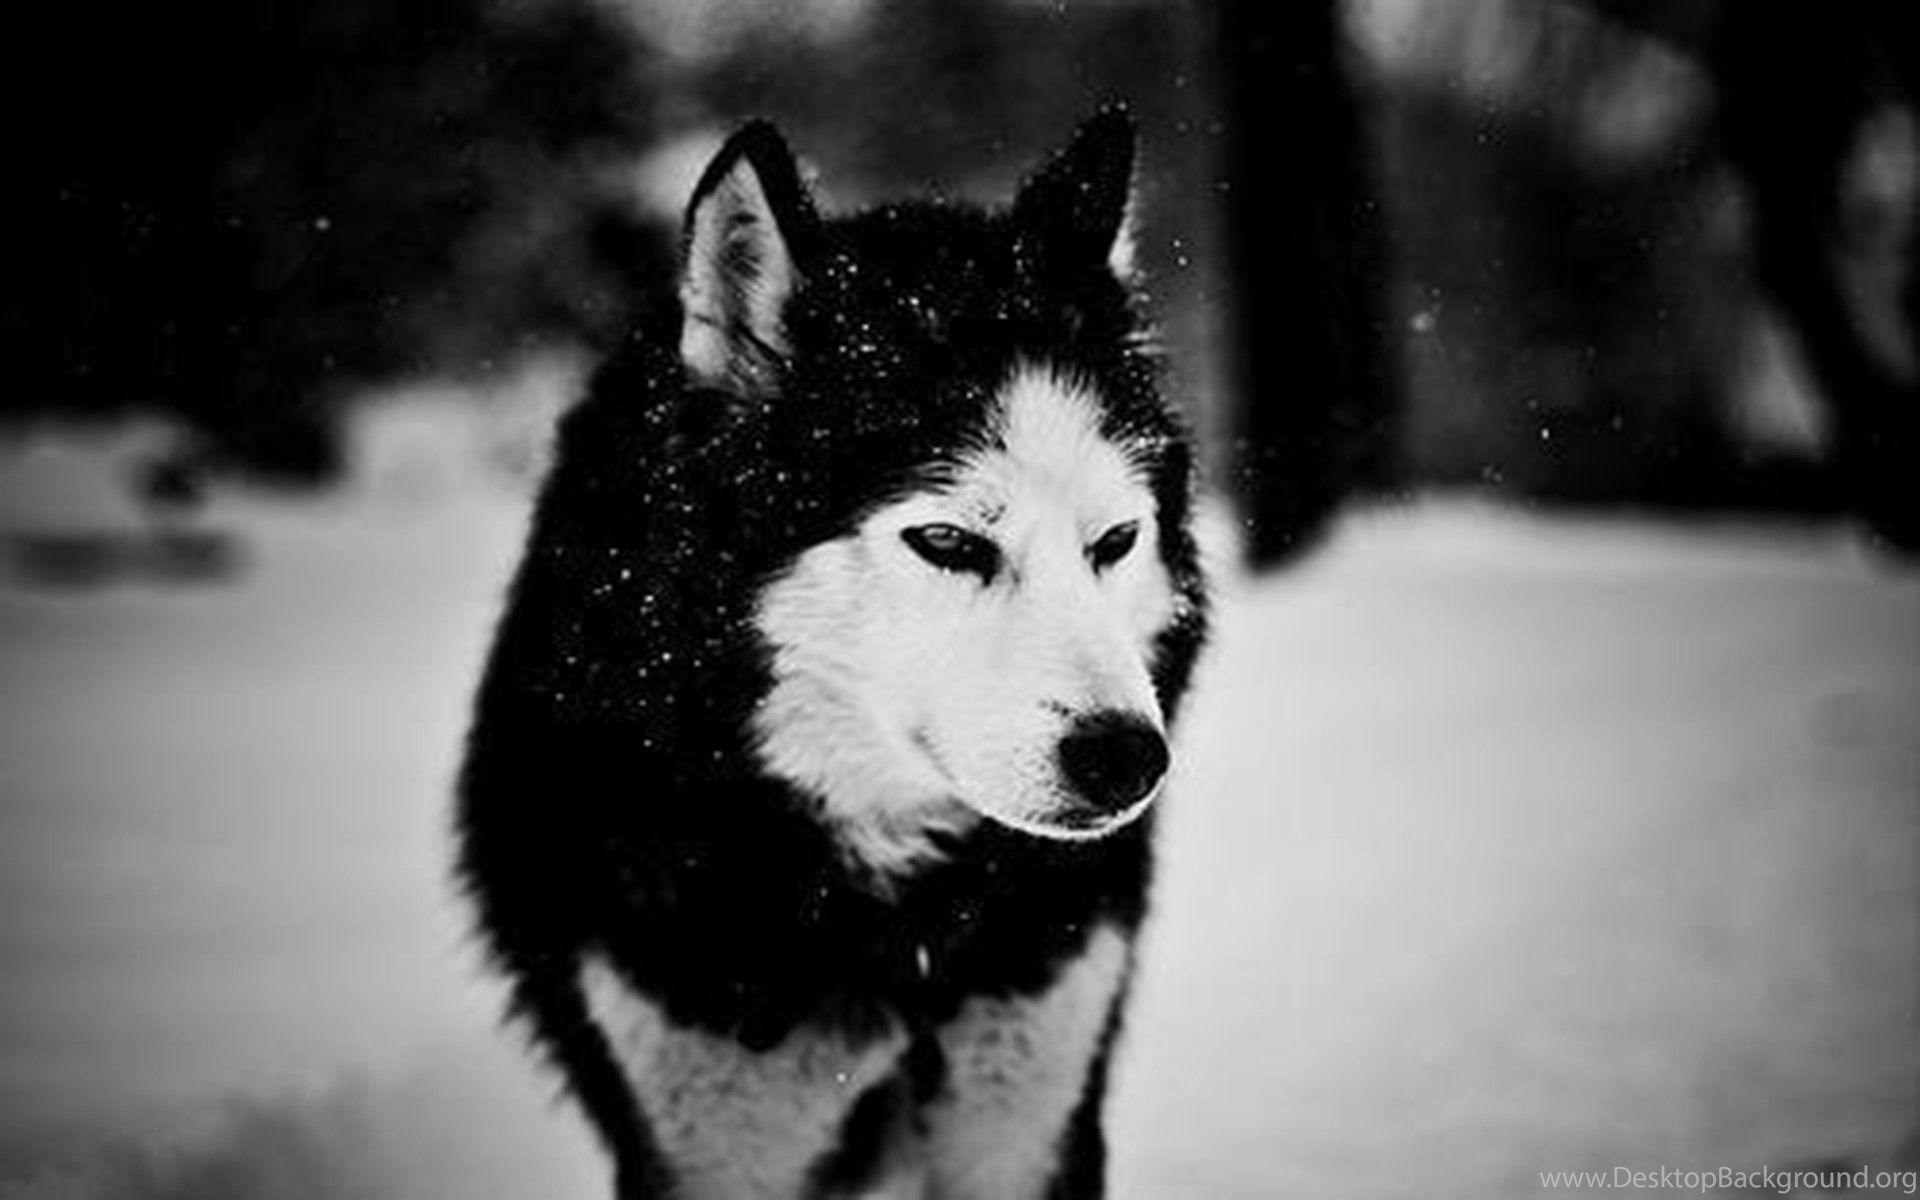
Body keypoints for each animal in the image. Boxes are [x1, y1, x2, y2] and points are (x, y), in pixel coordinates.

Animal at [456, 108, 1209, 1199]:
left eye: (1113, 542)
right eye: (946, 542)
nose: (1126, 758)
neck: (898, 926)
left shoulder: (1030, 1112)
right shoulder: (704, 1139)